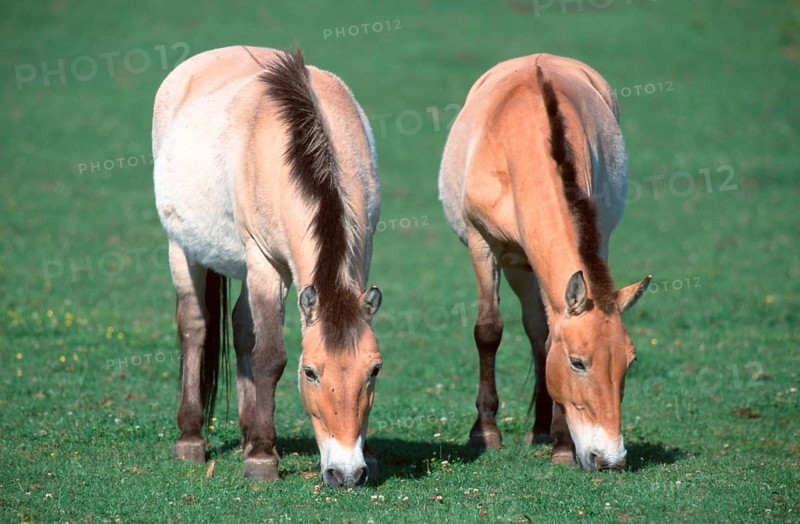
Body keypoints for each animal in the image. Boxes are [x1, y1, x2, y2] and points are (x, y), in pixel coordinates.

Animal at [152, 47, 383, 488]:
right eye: (310, 372)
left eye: (374, 370)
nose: (346, 473)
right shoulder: (265, 264)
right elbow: (271, 356)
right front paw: (261, 458)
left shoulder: (362, 253)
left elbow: (253, 343)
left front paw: (257, 444)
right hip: (181, 248)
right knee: (195, 326)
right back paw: (191, 438)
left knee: (242, 329)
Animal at [439, 53, 651, 471]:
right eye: (578, 362)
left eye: (629, 362)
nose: (610, 458)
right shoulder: (482, 245)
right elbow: (488, 330)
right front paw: (484, 432)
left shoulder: (595, 245)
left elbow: (550, 336)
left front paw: (562, 444)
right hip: (517, 264)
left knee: (539, 333)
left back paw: (541, 430)